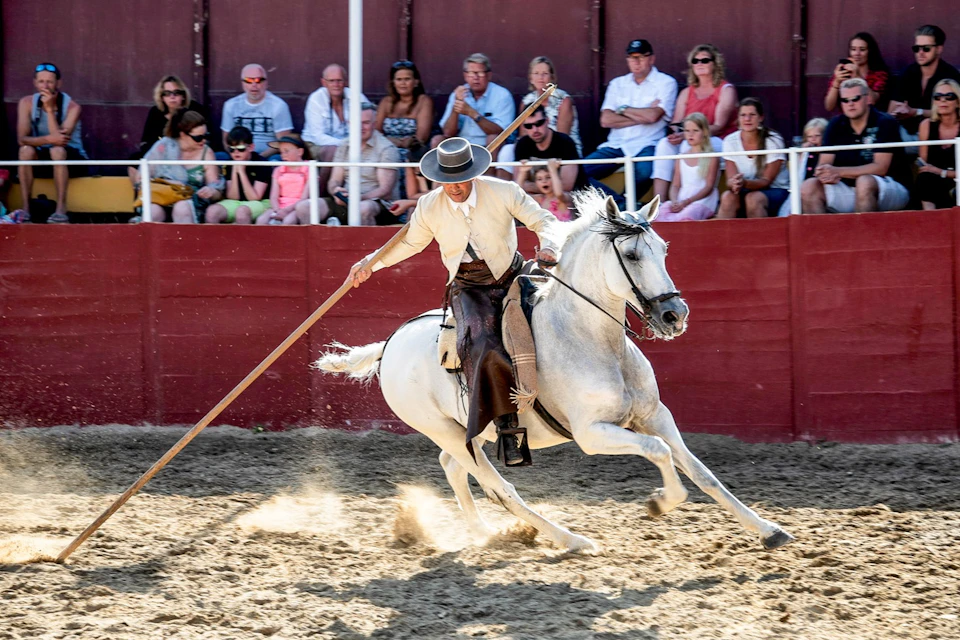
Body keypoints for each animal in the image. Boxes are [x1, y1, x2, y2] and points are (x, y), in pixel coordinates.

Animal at [315, 191, 795, 553]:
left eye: (663, 249)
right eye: (632, 253)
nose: (674, 315)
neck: (593, 340)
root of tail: (388, 347)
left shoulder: (657, 415)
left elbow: (702, 472)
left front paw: (769, 530)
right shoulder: (593, 433)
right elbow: (658, 452)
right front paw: (660, 503)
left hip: (472, 430)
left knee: (453, 468)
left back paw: (485, 534)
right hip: (444, 429)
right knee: (498, 486)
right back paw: (571, 540)